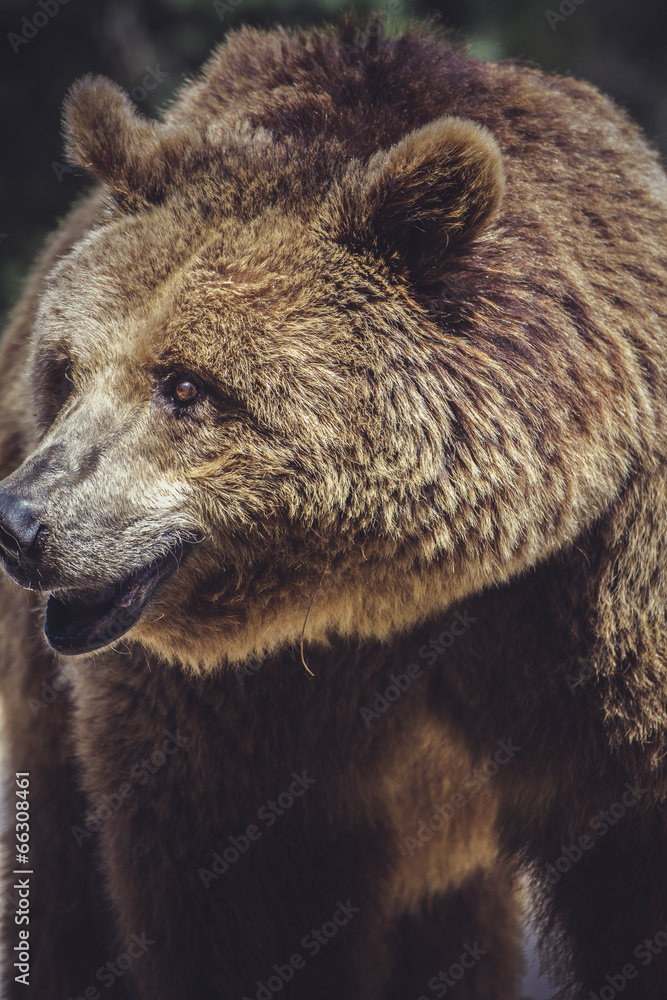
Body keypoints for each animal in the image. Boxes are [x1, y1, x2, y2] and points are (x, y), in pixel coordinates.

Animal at [2, 12, 667, 999]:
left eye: (186, 385)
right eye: (69, 369)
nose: (21, 521)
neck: (397, 592)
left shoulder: (601, 595)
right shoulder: (230, 714)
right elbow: (242, 904)